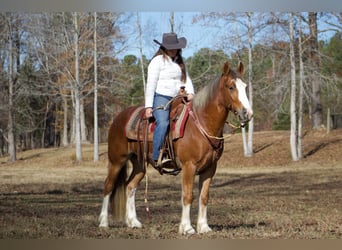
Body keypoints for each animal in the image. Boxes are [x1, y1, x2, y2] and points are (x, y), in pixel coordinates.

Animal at [97, 60, 252, 234]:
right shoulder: (189, 166)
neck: (201, 124)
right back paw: (103, 223)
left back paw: (133, 222)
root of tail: (118, 119)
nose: (247, 113)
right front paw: (187, 228)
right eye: (231, 87)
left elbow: (204, 196)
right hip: (117, 160)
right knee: (108, 186)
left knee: (130, 186)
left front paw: (204, 227)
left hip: (139, 164)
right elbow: (188, 195)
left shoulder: (210, 168)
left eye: (245, 87)